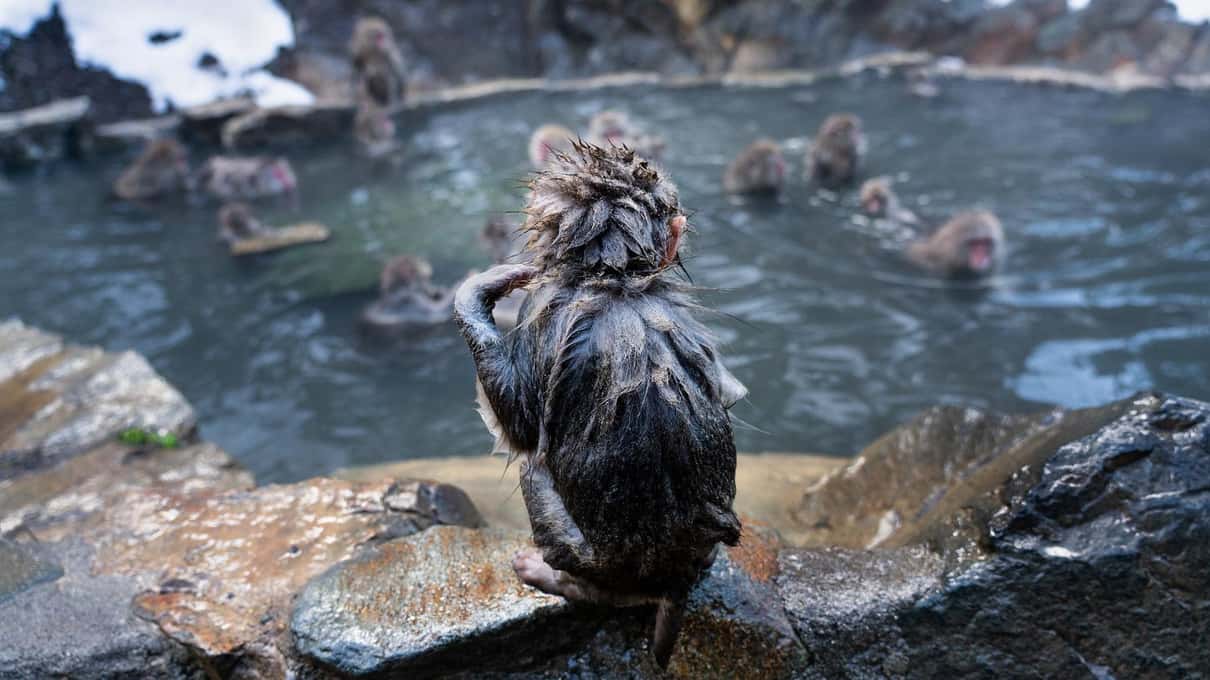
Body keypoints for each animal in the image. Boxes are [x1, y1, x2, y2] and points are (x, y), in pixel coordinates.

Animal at [453, 142, 746, 668]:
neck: (614, 281)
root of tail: (673, 579)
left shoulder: (539, 312)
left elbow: (518, 422)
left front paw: (479, 291)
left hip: (578, 546)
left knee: (532, 470)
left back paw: (558, 578)